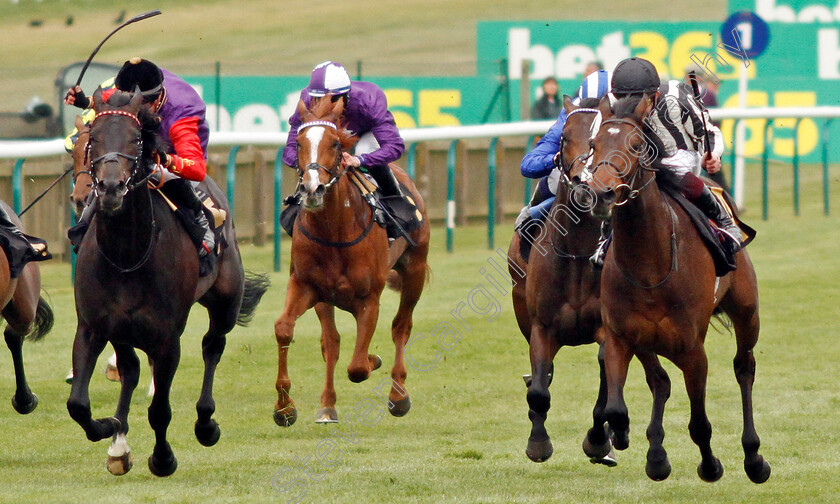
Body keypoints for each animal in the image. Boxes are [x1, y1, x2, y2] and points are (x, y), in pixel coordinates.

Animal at [67, 86, 270, 476]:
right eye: (91, 139)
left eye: (135, 139)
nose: (109, 188)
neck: (127, 255)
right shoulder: (92, 327)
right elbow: (78, 405)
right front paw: (109, 427)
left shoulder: (166, 339)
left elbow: (159, 409)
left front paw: (162, 458)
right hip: (121, 330)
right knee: (129, 369)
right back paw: (118, 444)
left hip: (225, 301)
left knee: (212, 345)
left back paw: (206, 423)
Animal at [274, 95, 430, 426]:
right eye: (299, 144)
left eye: (335, 144)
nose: (312, 189)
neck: (335, 231)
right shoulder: (306, 286)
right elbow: (286, 329)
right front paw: (284, 407)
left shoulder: (369, 298)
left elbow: (358, 367)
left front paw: (374, 359)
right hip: (325, 299)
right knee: (331, 343)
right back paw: (327, 405)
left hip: (415, 271)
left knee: (401, 326)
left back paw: (398, 396)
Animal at [506, 97, 668, 464]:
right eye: (565, 137)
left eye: (595, 141)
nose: (584, 184)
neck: (578, 254)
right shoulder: (541, 326)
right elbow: (540, 388)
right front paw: (538, 442)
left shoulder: (609, 329)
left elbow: (606, 380)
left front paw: (599, 439)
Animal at [584, 95, 768, 484]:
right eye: (594, 145)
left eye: (636, 146)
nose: (601, 194)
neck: (649, 265)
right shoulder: (621, 337)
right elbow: (617, 407)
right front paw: (619, 439)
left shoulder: (692, 350)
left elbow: (699, 423)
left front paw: (711, 466)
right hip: (647, 341)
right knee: (660, 381)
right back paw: (655, 454)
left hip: (747, 312)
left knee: (744, 367)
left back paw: (754, 457)